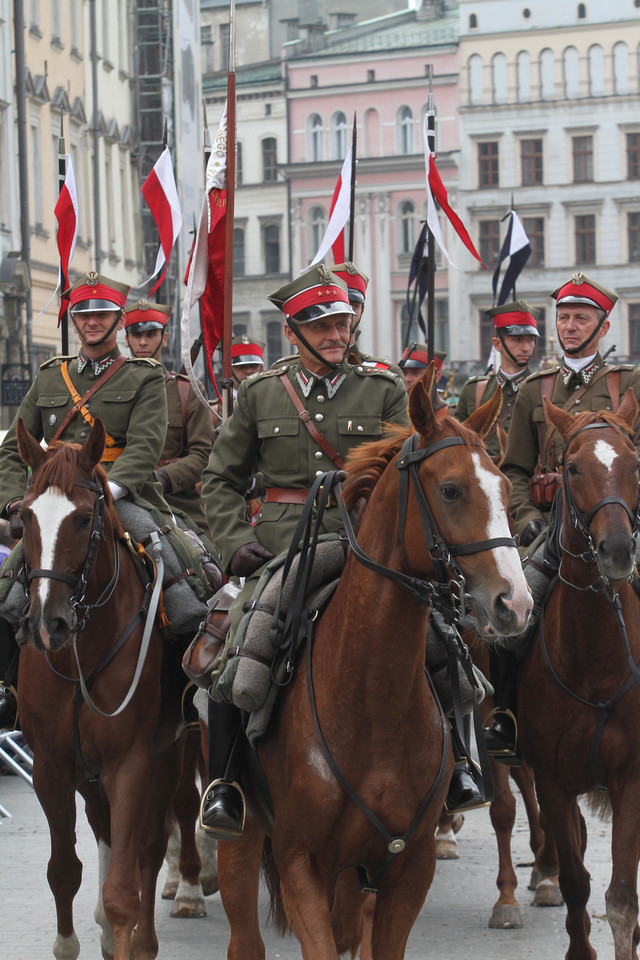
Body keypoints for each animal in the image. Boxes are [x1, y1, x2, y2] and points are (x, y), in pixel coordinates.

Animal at [13, 418, 186, 960]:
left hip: (169, 751)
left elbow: (124, 888)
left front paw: (128, 935)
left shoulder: (130, 762)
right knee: (104, 827)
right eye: (23, 518)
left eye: (84, 519)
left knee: (151, 845)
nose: (47, 624)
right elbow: (64, 872)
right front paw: (75, 939)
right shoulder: (50, 766)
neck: (81, 652)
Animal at [218, 370, 532, 960]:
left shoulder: (406, 867)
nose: (515, 604)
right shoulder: (301, 865)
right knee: (243, 933)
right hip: (242, 839)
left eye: (505, 488)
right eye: (451, 489)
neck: (369, 699)